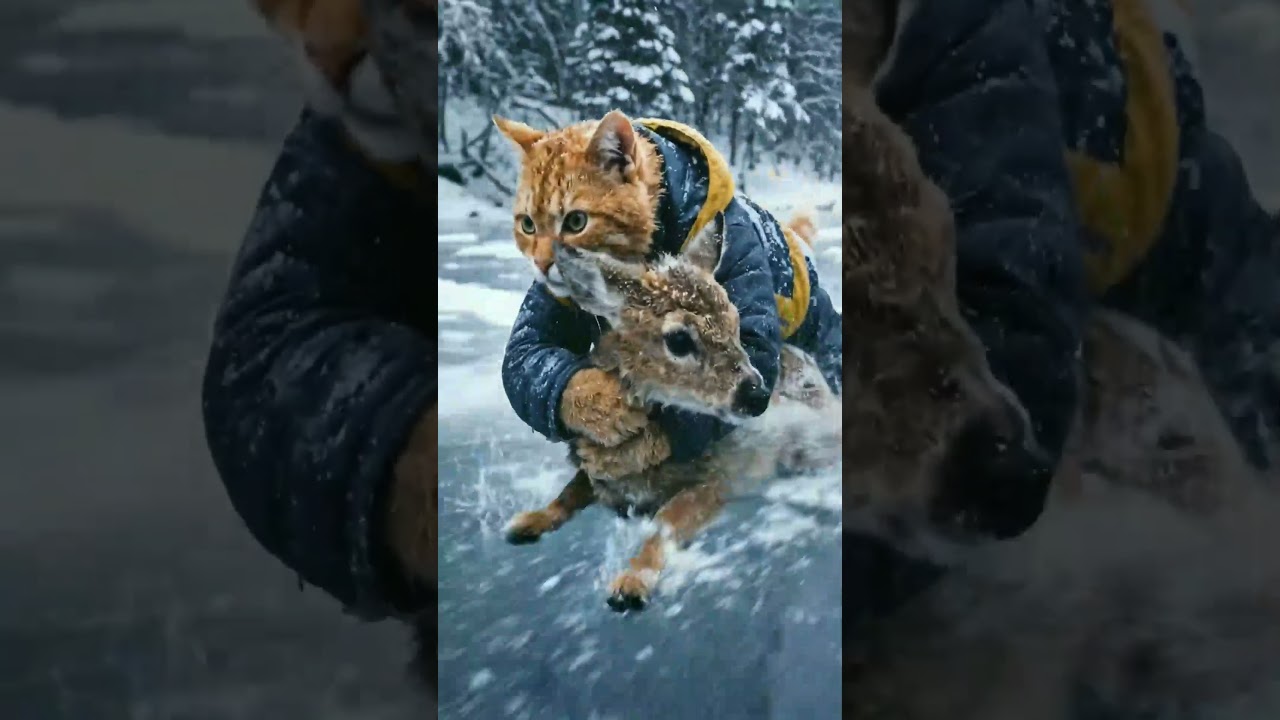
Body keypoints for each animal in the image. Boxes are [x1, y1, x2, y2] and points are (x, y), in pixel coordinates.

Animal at [500, 217, 843, 612]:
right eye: (678, 339)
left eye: (736, 323)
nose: (757, 393)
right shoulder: (599, 471)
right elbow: (569, 492)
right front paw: (527, 522)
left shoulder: (719, 477)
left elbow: (664, 524)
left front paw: (631, 583)